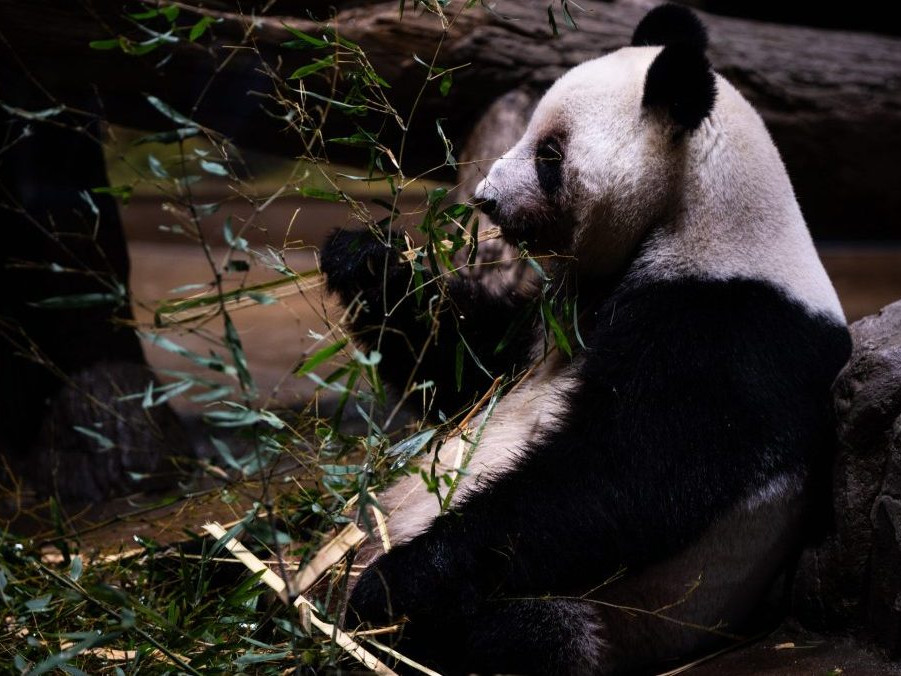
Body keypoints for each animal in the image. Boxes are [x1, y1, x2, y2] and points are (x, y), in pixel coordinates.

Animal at [318, 4, 852, 674]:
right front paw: (367, 261)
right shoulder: (556, 314)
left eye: (550, 153)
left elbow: (623, 477)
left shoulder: (733, 327)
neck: (699, 216)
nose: (486, 199)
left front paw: (395, 582)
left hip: (608, 619)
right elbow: (468, 368)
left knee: (520, 634)